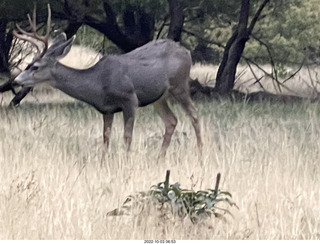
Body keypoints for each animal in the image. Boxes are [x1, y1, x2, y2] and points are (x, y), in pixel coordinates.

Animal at [13, 4, 202, 157]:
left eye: (35, 66)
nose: (16, 79)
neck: (98, 84)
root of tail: (186, 52)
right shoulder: (106, 109)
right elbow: (106, 139)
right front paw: (103, 163)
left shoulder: (130, 99)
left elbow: (127, 137)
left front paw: (126, 162)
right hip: (159, 97)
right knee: (171, 121)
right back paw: (159, 158)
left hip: (179, 84)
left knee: (194, 115)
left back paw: (200, 154)